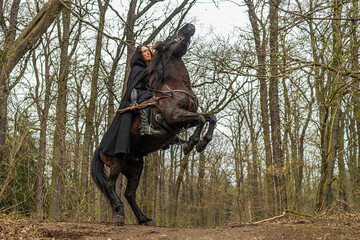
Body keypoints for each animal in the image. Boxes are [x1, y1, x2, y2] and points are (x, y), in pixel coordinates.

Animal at [91, 23, 218, 226]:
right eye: (169, 38)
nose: (188, 26)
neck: (173, 85)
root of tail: (100, 149)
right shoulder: (174, 117)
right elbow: (199, 118)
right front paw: (192, 143)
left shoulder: (184, 119)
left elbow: (210, 117)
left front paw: (202, 142)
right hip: (116, 163)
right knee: (111, 185)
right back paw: (119, 214)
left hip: (135, 168)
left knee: (129, 193)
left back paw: (144, 218)